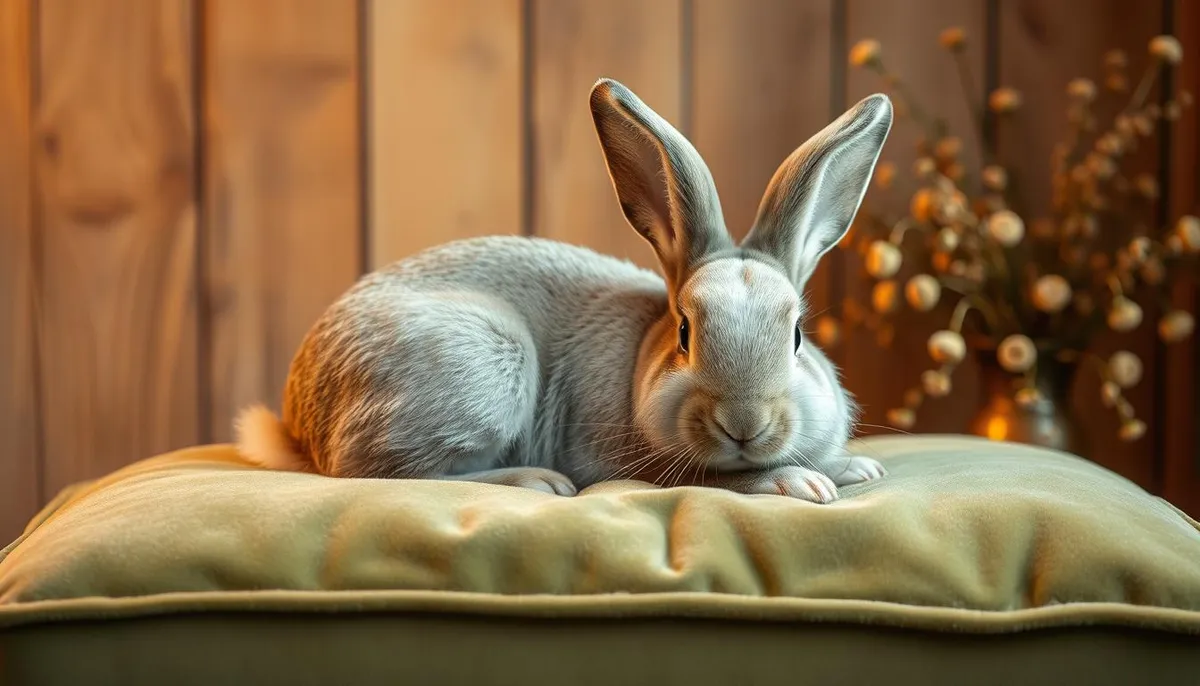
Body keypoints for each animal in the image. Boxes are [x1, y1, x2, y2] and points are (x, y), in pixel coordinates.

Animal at [235, 77, 893, 503]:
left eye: (797, 336)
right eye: (686, 334)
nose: (744, 423)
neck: (643, 356)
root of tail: (299, 420)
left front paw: (856, 468)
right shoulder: (639, 465)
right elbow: (713, 479)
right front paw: (797, 481)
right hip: (481, 367)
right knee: (375, 473)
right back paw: (534, 481)